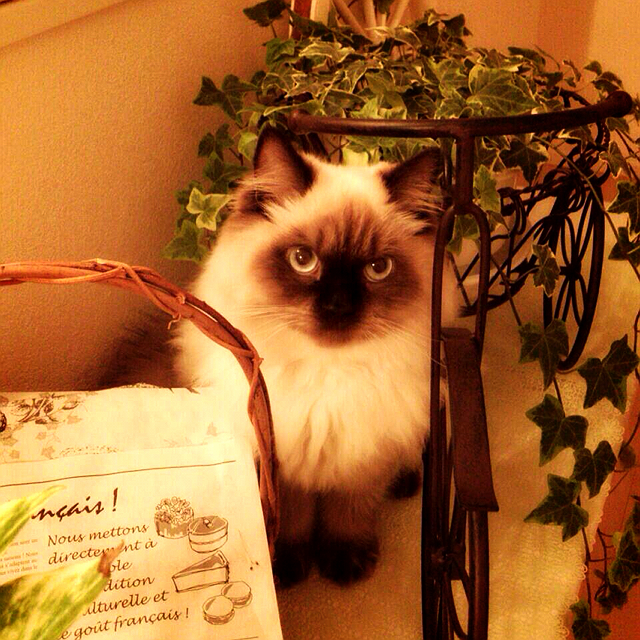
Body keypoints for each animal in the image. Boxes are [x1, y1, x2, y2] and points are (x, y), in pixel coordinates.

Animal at [173, 127, 458, 587]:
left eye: (378, 269)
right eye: (303, 260)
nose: (338, 307)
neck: (329, 376)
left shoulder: (366, 458)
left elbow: (348, 513)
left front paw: (344, 564)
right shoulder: (281, 461)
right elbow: (292, 519)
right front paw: (286, 567)